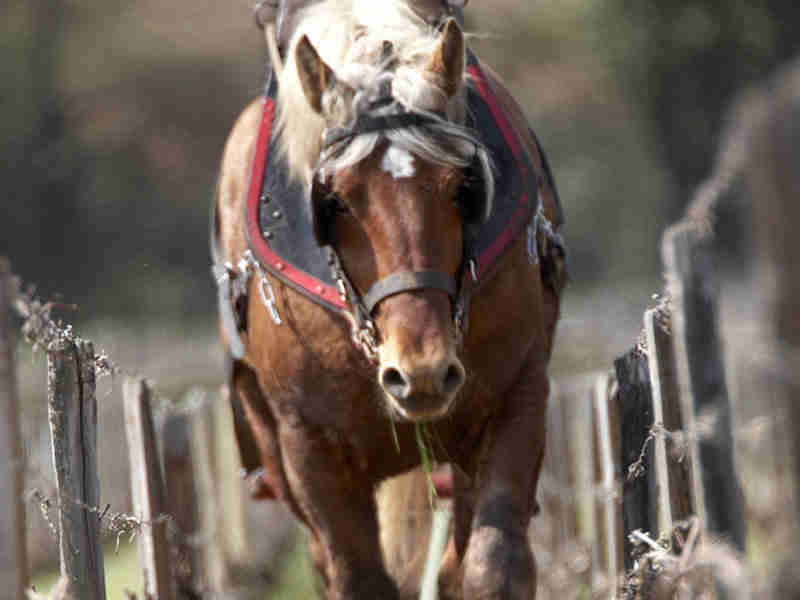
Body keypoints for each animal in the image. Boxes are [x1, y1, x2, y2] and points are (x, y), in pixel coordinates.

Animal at [211, 2, 564, 596]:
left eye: (463, 186)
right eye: (334, 201)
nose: (421, 371)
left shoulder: (517, 395)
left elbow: (492, 565)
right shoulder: (308, 445)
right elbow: (357, 577)